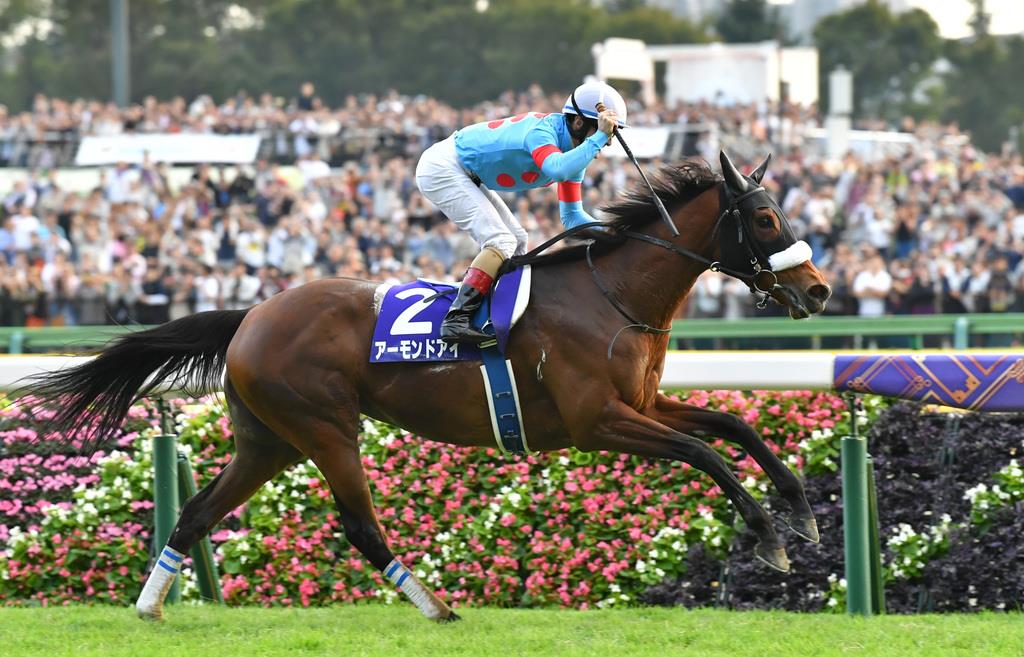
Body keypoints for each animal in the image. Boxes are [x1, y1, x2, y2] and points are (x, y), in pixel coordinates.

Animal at [20, 152, 831, 622]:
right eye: (765, 217)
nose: (819, 290)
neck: (612, 294)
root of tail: (252, 313)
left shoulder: (642, 403)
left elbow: (734, 427)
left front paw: (800, 511)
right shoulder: (598, 420)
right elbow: (709, 455)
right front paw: (769, 539)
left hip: (267, 441)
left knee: (194, 513)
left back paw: (149, 607)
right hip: (324, 427)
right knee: (358, 524)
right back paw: (435, 604)